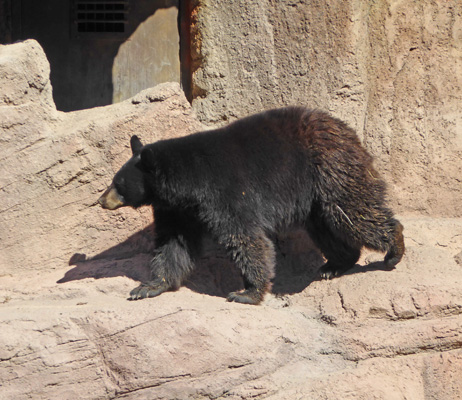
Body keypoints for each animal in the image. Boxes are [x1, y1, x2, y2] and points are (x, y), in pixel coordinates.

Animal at [98, 108, 404, 304]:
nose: (100, 199)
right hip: (315, 197)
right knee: (327, 227)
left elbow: (244, 237)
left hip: (330, 170)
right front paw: (148, 286)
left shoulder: (225, 192)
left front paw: (247, 292)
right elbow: (173, 244)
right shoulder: (178, 210)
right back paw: (336, 264)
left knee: (353, 211)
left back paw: (393, 249)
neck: (186, 183)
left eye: (118, 183)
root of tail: (346, 130)